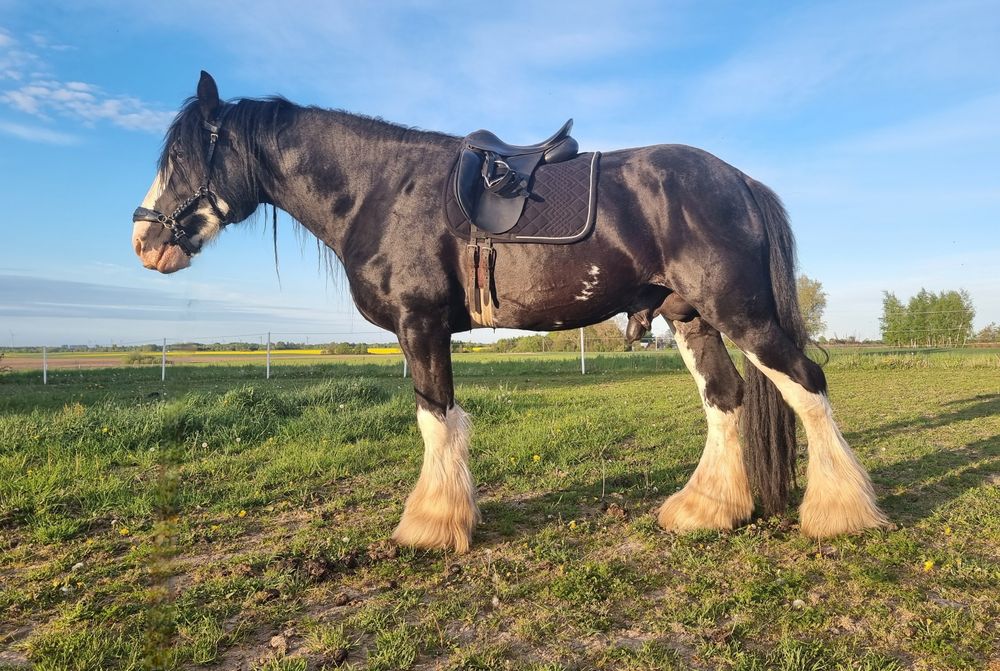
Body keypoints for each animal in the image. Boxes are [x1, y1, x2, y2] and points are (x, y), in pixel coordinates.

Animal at [131, 72, 889, 553]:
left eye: (184, 156)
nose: (143, 241)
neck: (383, 190)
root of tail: (738, 179)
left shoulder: (421, 326)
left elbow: (436, 419)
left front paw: (433, 526)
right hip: (692, 316)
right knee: (727, 397)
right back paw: (706, 510)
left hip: (739, 310)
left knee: (807, 384)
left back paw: (840, 513)